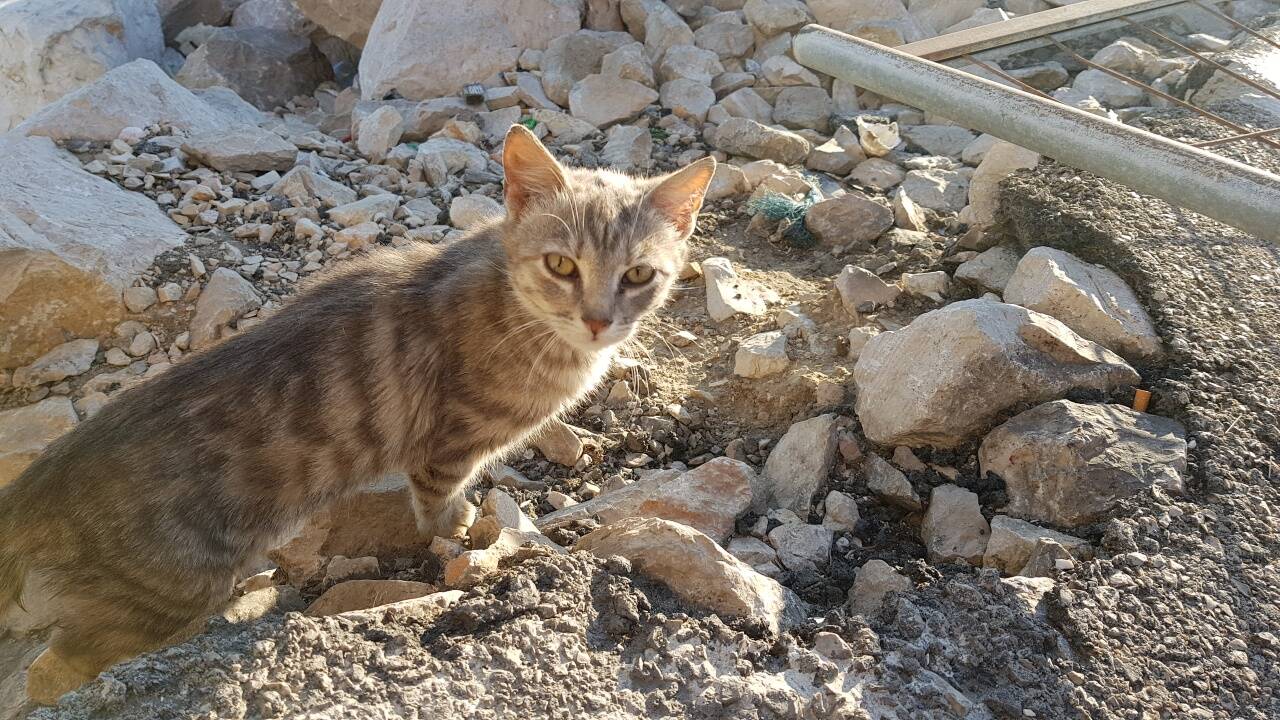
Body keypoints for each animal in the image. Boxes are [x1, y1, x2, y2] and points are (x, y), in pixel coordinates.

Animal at [0, 124, 721, 702]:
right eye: (560, 264)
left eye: (638, 275)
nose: (599, 321)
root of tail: (36, 488)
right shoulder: (450, 441)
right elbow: (440, 499)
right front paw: (462, 527)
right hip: (160, 596)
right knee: (55, 665)